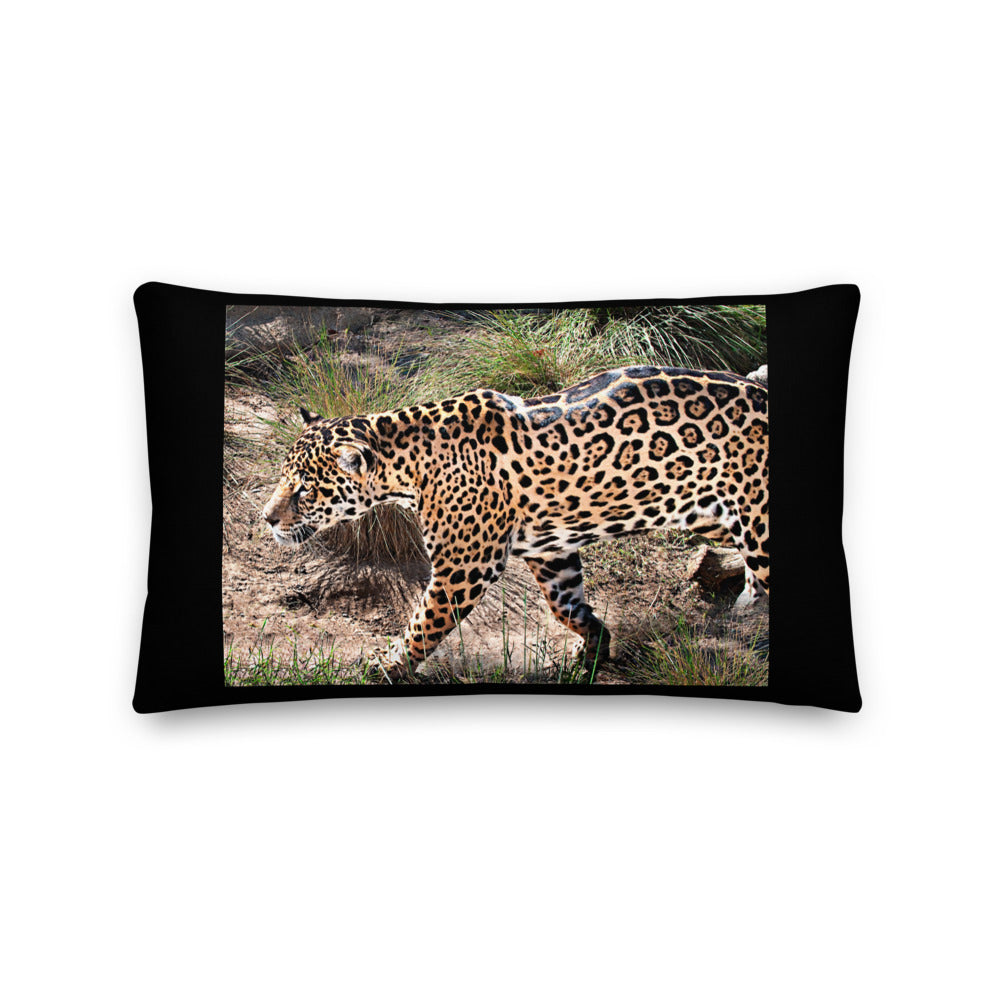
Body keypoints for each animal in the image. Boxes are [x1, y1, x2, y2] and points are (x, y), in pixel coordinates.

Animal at [262, 366, 768, 680]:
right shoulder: (552, 550)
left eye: (304, 490)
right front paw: (592, 649)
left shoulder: (461, 570)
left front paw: (387, 668)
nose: (267, 519)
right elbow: (566, 606)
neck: (407, 465)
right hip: (713, 513)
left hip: (758, 520)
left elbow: (421, 625)